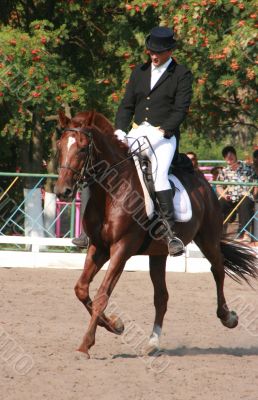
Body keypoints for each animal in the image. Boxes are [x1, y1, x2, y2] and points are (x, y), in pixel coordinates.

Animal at [54, 110, 256, 360]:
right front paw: (116, 325)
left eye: (83, 148)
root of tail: (202, 180)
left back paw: (228, 317)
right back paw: (152, 342)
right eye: (60, 146)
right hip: (158, 254)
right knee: (162, 297)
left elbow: (102, 295)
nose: (62, 191)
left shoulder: (122, 249)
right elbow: (81, 289)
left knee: (217, 269)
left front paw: (85, 345)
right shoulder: (98, 248)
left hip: (208, 239)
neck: (112, 191)